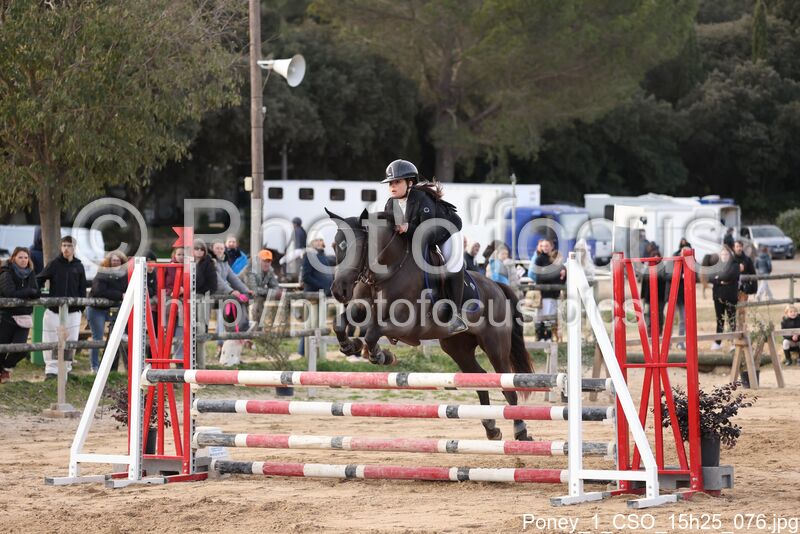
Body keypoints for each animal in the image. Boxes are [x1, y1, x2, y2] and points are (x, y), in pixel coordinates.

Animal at [325, 208, 535, 441]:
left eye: (361, 247)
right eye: (335, 246)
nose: (339, 291)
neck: (386, 273)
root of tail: (497, 286)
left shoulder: (406, 326)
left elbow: (372, 332)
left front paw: (380, 355)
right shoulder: (361, 308)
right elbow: (340, 324)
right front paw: (350, 346)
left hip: (495, 345)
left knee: (507, 386)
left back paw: (521, 431)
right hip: (457, 348)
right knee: (479, 377)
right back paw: (491, 428)